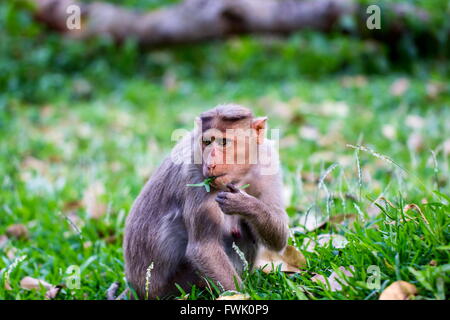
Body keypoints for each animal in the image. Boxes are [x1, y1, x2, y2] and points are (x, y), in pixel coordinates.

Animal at [123, 104, 288, 298]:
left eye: (224, 142)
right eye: (207, 142)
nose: (210, 164)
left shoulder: (268, 164)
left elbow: (279, 237)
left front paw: (245, 204)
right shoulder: (196, 177)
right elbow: (204, 249)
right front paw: (241, 295)